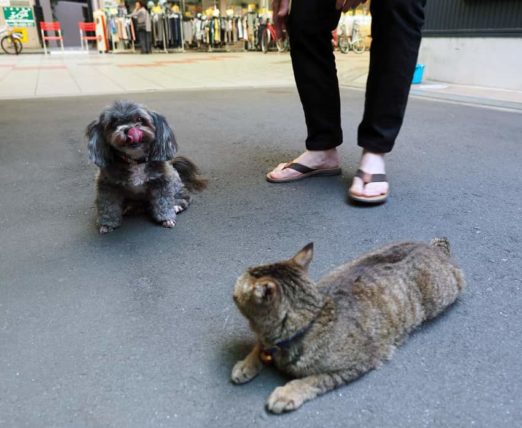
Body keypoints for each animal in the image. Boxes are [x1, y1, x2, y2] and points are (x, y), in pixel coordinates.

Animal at [87, 100, 205, 234]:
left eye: (139, 118)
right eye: (114, 122)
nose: (129, 129)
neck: (135, 161)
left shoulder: (162, 181)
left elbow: (163, 201)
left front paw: (166, 218)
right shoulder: (108, 185)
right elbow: (108, 206)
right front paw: (107, 224)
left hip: (174, 184)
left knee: (184, 196)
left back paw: (176, 206)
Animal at [231, 239, 464, 412]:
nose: (242, 271)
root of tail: (432, 248)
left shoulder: (357, 364)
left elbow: (312, 380)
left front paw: (287, 393)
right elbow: (258, 346)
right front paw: (246, 364)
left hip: (443, 293)